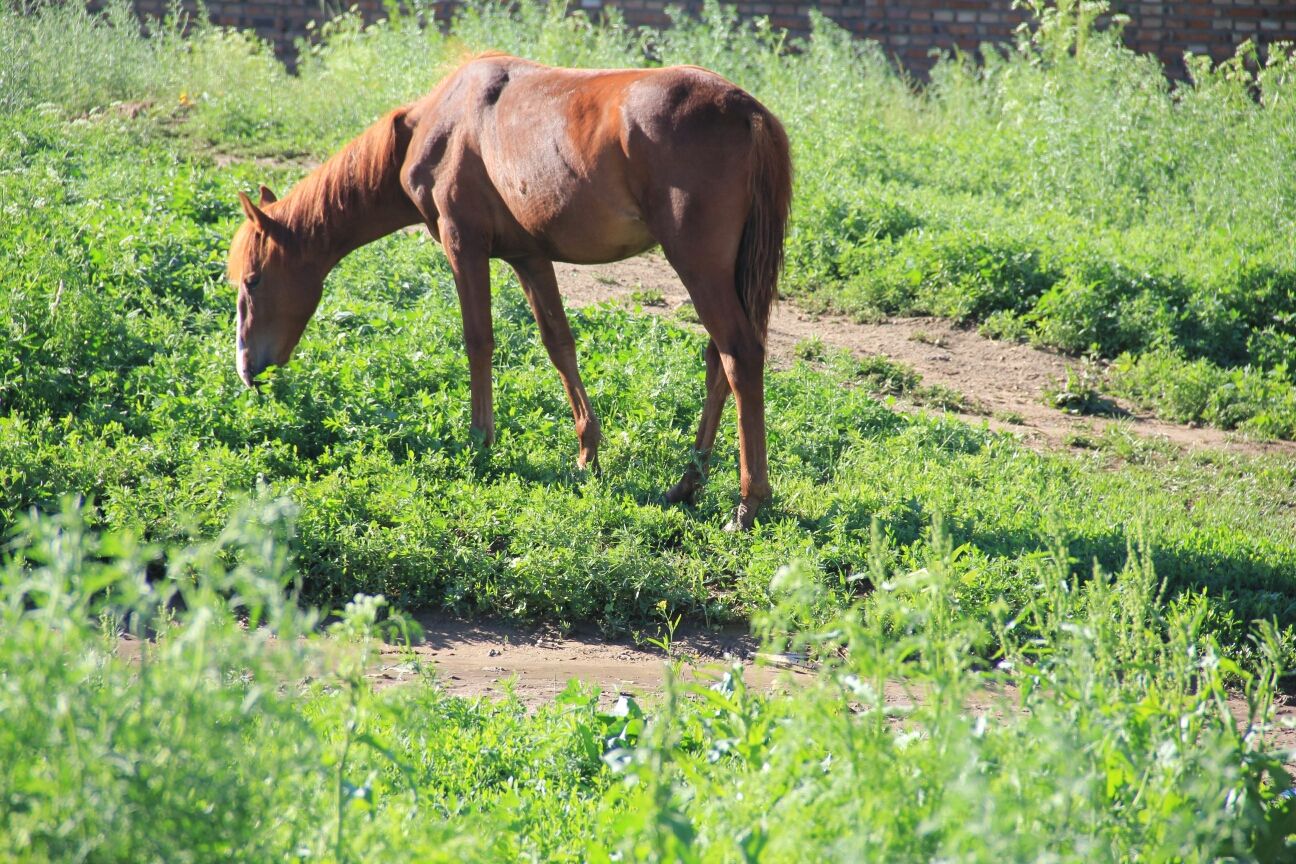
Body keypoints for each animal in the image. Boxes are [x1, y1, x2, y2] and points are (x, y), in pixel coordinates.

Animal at [229, 54, 793, 531]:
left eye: (252, 281)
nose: (247, 369)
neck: (440, 123)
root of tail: (746, 110)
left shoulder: (463, 245)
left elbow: (478, 340)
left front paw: (480, 440)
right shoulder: (530, 257)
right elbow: (559, 345)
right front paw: (587, 454)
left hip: (699, 268)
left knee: (739, 356)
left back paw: (748, 502)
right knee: (717, 362)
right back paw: (687, 483)